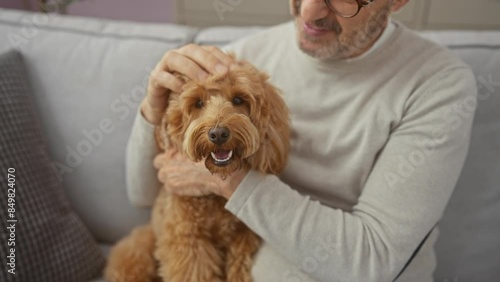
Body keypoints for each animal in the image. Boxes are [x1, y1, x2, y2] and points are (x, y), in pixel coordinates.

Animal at [104, 57, 290, 282]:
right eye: (198, 103)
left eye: (238, 100)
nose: (218, 134)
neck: (215, 200)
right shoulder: (187, 240)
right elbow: (194, 271)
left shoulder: (243, 235)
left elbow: (238, 265)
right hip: (138, 251)